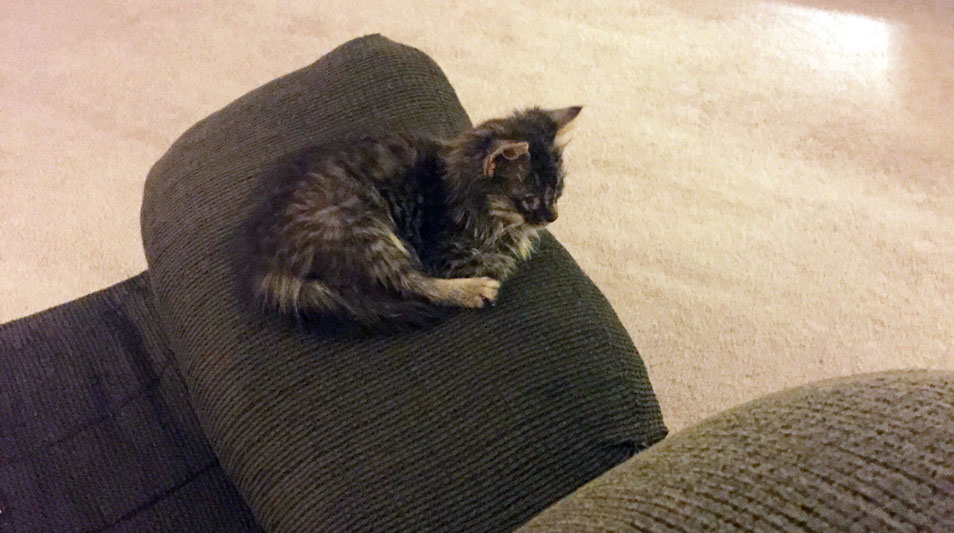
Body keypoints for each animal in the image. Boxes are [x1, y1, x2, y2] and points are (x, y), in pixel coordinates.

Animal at [247, 105, 580, 328]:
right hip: (360, 225)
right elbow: (502, 259)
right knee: (409, 283)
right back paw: (473, 290)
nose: (552, 217)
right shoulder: (453, 257)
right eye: (529, 200)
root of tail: (267, 263)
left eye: (558, 191)